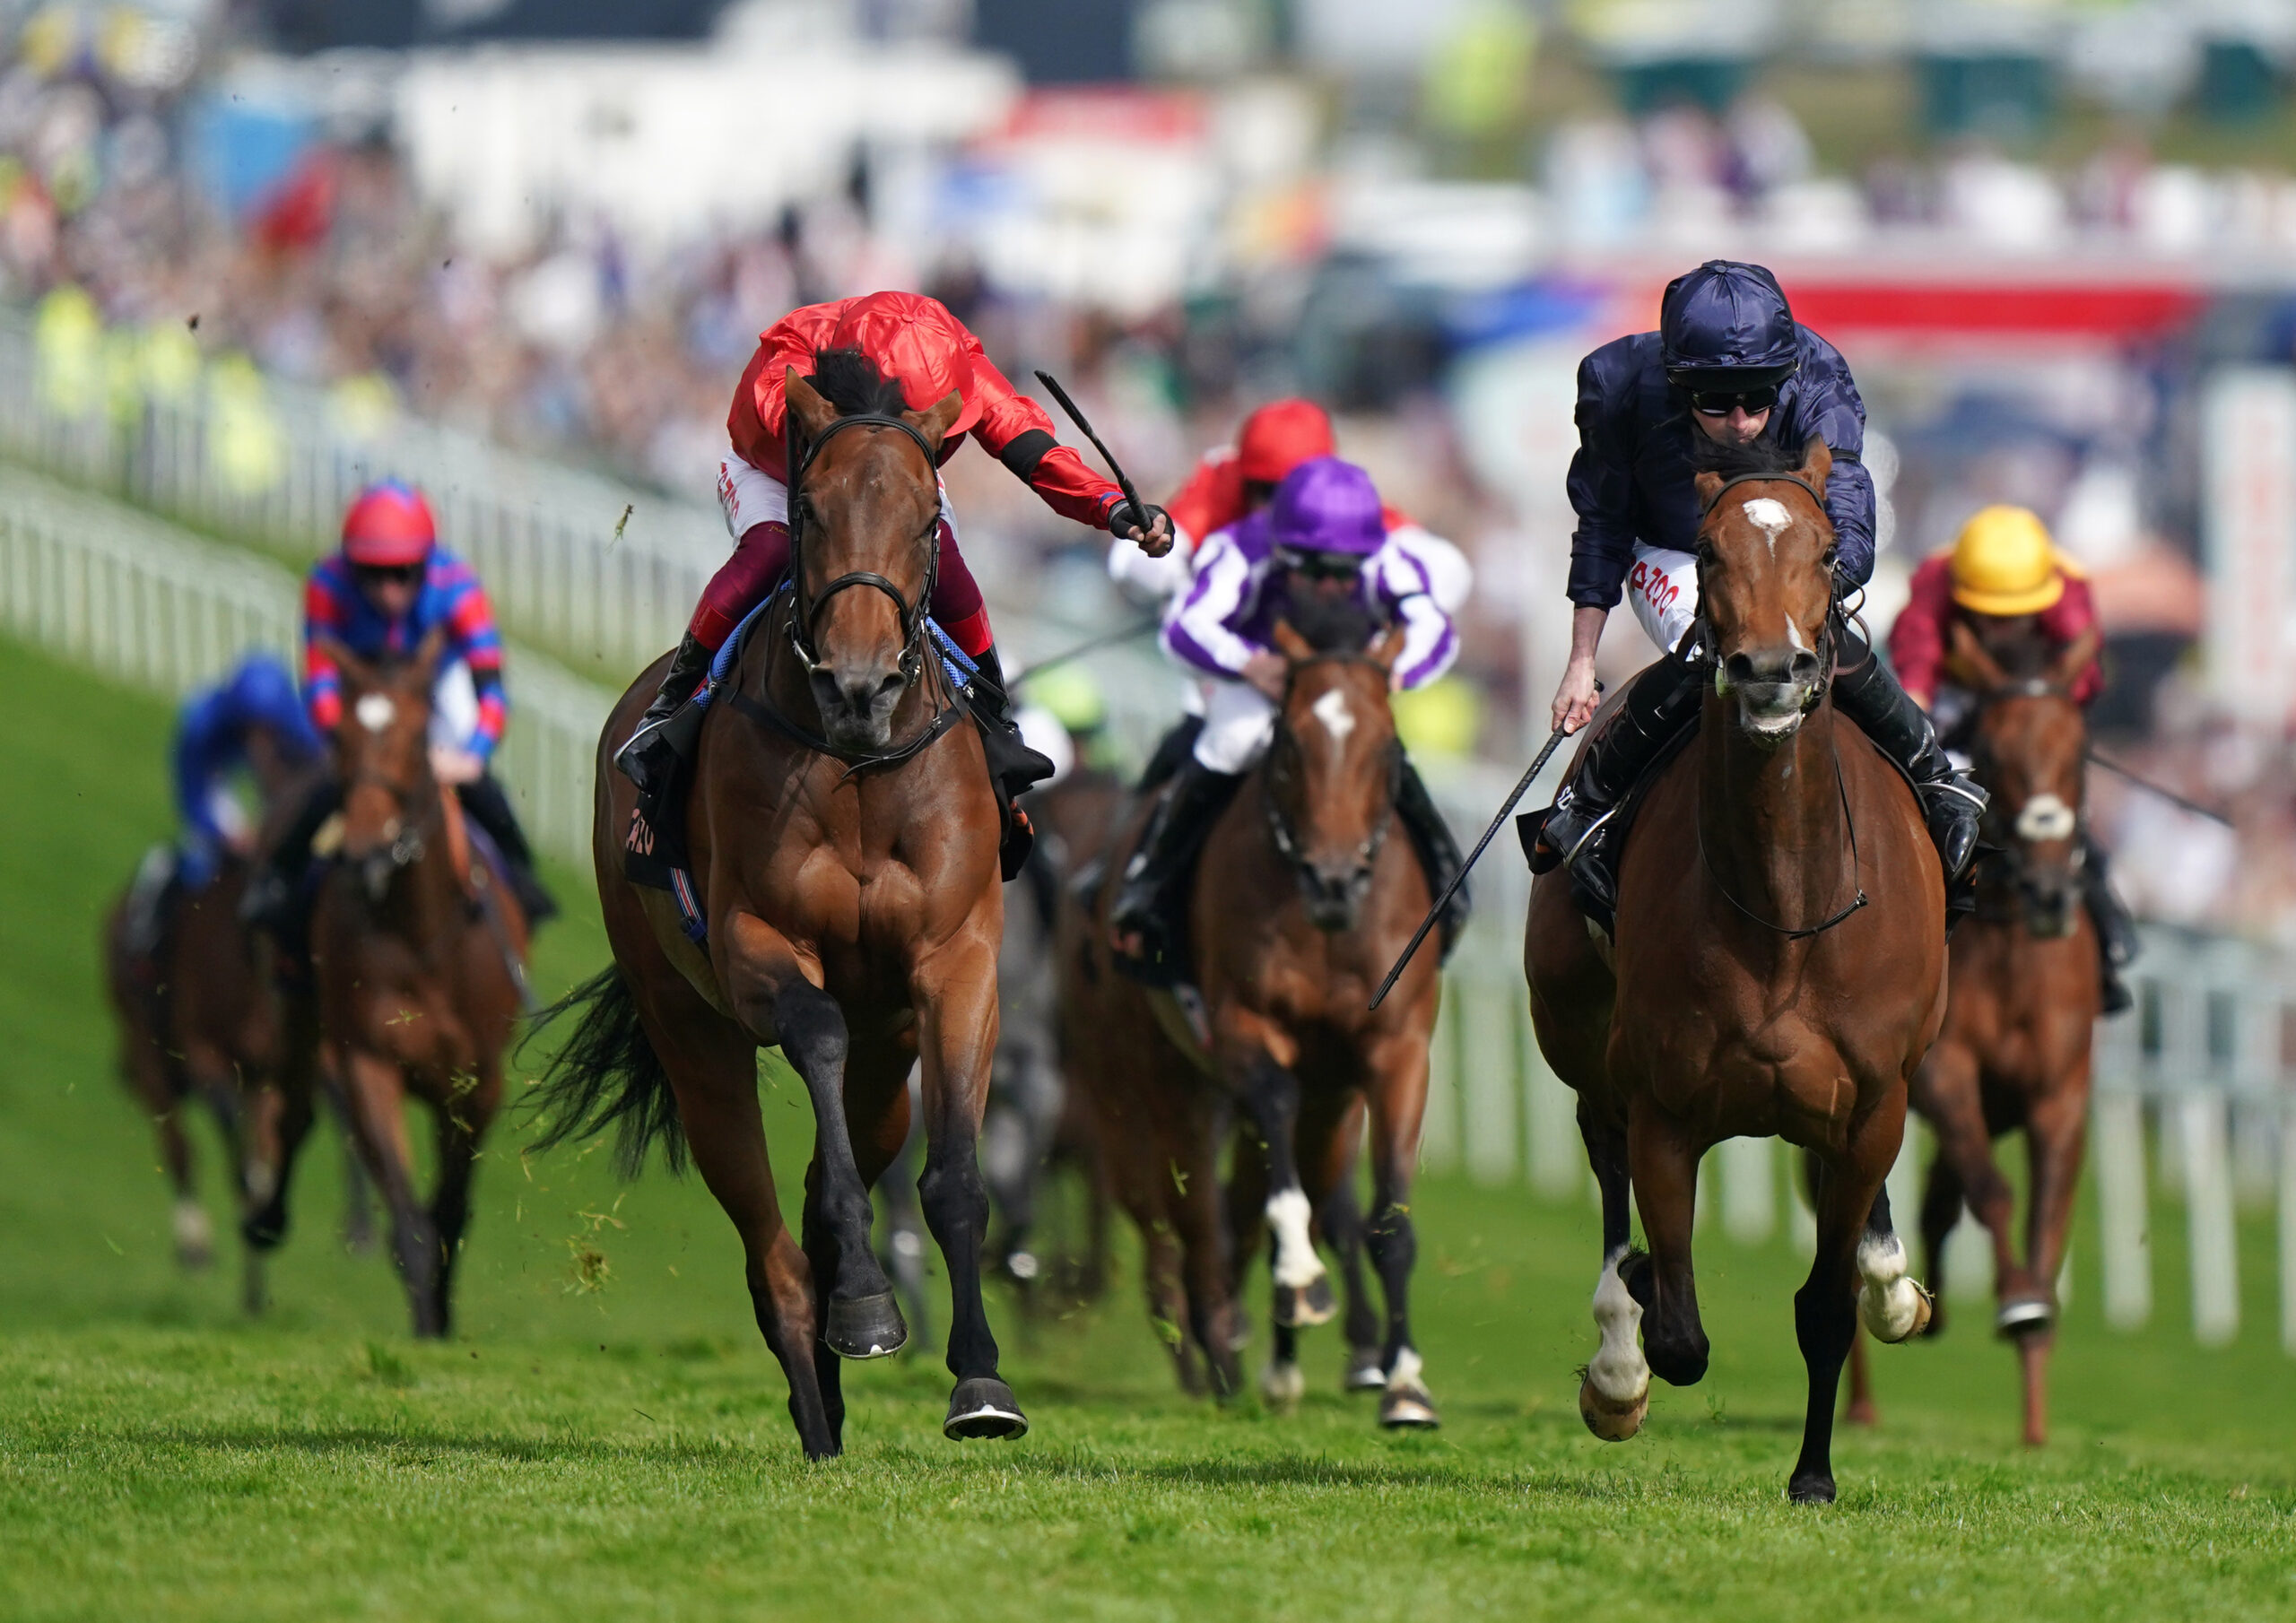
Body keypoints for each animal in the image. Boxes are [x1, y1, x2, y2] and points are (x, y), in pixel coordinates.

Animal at [243, 629, 527, 1341]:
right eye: (340, 735)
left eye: (415, 731)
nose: (366, 849)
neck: (421, 938)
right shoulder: (368, 1063)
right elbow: (411, 1222)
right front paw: (426, 1326)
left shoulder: (478, 1081)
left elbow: (449, 1212)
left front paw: (443, 1319)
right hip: (297, 1008)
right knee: (292, 1112)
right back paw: (265, 1218)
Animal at [532, 358, 1019, 1460]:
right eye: (808, 510)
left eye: (928, 519)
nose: (859, 685)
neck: (859, 768)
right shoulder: (758, 945)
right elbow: (816, 1036)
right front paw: (870, 1310)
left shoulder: (957, 960)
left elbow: (953, 1179)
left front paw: (979, 1380)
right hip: (689, 1030)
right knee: (769, 1239)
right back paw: (819, 1385)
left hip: (889, 1057)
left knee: (838, 1167)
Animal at [1069, 615, 1432, 1432]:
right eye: (1289, 746)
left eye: (1386, 748)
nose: (1334, 881)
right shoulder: (1245, 1032)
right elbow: (1271, 1157)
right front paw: (1297, 1281)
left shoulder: (1395, 1053)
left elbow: (1387, 1222)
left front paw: (1405, 1383)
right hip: (1150, 1080)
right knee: (1193, 1214)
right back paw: (1219, 1339)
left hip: (1327, 1105)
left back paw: (1264, 1355)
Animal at [1534, 438, 1946, 1506]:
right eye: (1712, 552)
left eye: (1827, 550)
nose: (1769, 668)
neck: (1786, 910)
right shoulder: (1664, 1106)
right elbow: (1679, 1327)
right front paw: (1633, 1326)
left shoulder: (1870, 1104)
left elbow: (1826, 1306)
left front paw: (1814, 1475)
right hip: (1585, 1049)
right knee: (1603, 1163)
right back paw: (1617, 1352)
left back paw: (1891, 1280)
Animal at [1855, 620, 2102, 1450]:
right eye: (1991, 752)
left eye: (2080, 750)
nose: (2052, 894)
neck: (2012, 947)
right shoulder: (1945, 1074)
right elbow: (1993, 1193)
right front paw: (2017, 1304)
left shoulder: (2061, 1095)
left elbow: (2045, 1215)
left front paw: (2035, 1414)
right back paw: (1859, 1401)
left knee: (1937, 1196)